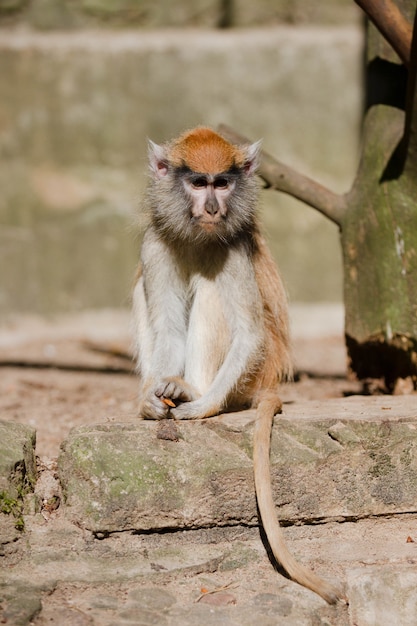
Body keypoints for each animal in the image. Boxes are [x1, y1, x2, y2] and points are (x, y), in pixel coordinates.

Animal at [132, 128, 342, 604]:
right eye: (198, 183)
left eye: (222, 183)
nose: (213, 207)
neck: (198, 236)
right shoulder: (154, 243)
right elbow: (167, 323)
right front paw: (153, 401)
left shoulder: (233, 251)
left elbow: (250, 333)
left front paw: (200, 405)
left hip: (254, 374)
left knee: (211, 291)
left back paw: (193, 390)